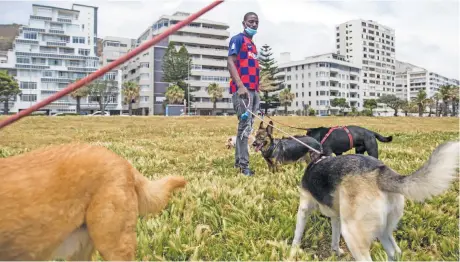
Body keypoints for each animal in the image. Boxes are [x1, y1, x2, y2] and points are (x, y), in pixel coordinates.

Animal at [292, 139, 460, 260]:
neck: (318, 159)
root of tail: (380, 172)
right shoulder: (336, 217)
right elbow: (334, 237)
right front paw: (336, 251)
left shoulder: (304, 209)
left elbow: (297, 234)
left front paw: (293, 252)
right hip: (384, 230)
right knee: (395, 252)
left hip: (353, 233)